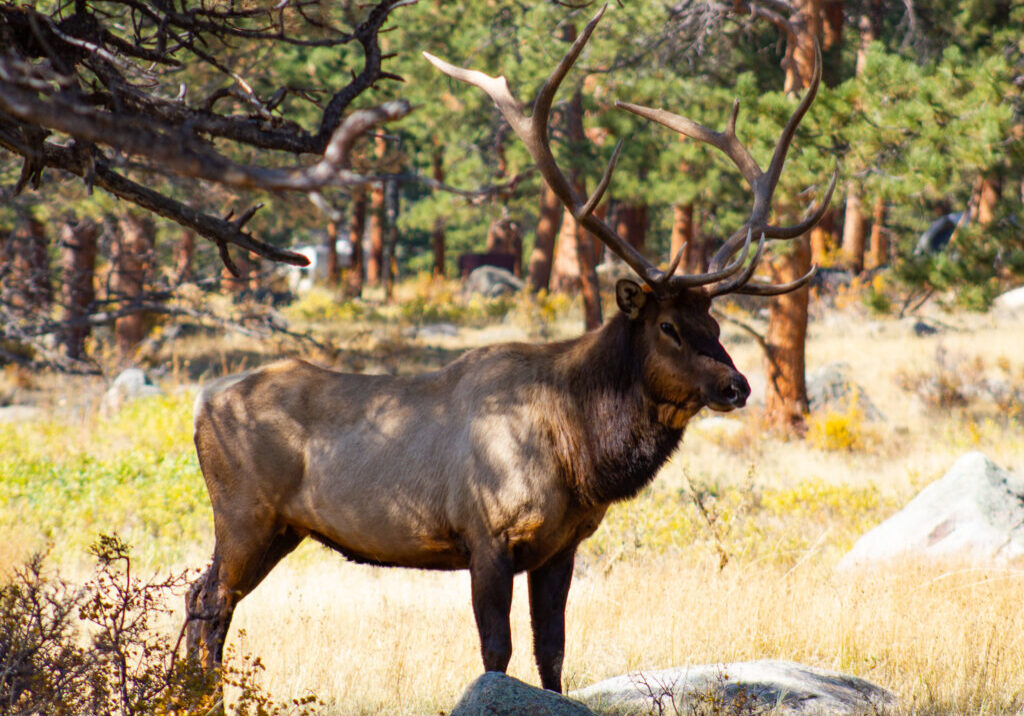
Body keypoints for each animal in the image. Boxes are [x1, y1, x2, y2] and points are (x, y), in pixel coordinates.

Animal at [185, 6, 835, 694]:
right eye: (668, 327)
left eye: (712, 320)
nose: (737, 385)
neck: (580, 452)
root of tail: (200, 404)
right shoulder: (487, 535)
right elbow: (496, 653)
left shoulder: (563, 546)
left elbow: (552, 651)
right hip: (244, 513)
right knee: (210, 599)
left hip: (281, 528)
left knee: (204, 596)